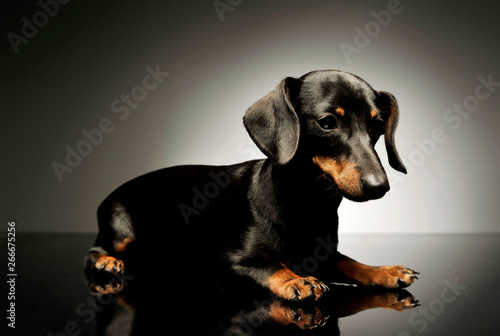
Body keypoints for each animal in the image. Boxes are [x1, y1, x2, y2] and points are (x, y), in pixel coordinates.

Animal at [85, 69, 418, 300]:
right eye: (327, 123)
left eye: (377, 124)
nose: (379, 187)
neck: (306, 204)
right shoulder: (232, 262)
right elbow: (273, 267)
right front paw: (297, 279)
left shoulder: (326, 256)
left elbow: (351, 263)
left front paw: (385, 272)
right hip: (122, 234)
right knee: (95, 250)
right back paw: (106, 262)